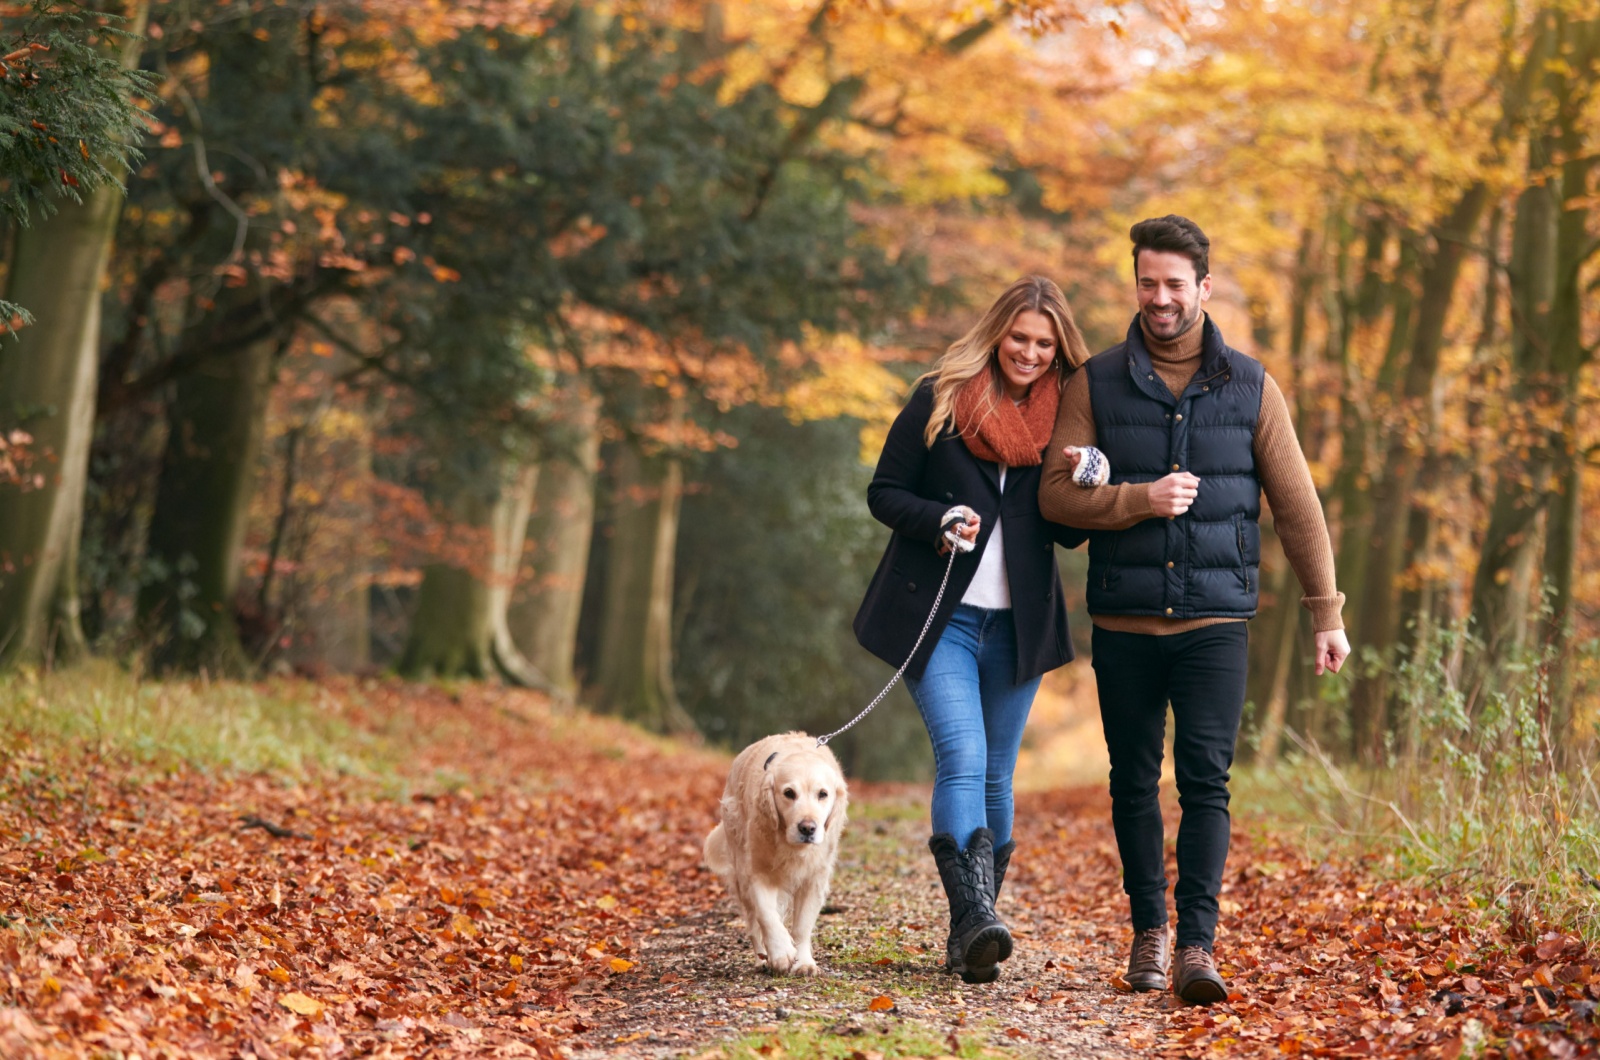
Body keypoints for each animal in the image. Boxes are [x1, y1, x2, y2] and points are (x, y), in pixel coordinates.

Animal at [704, 736, 851, 973]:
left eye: (823, 794)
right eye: (789, 793)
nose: (807, 828)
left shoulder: (814, 879)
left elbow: (802, 926)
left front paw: (804, 963)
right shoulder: (756, 871)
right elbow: (767, 915)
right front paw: (781, 953)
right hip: (739, 871)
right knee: (753, 924)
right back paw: (762, 959)